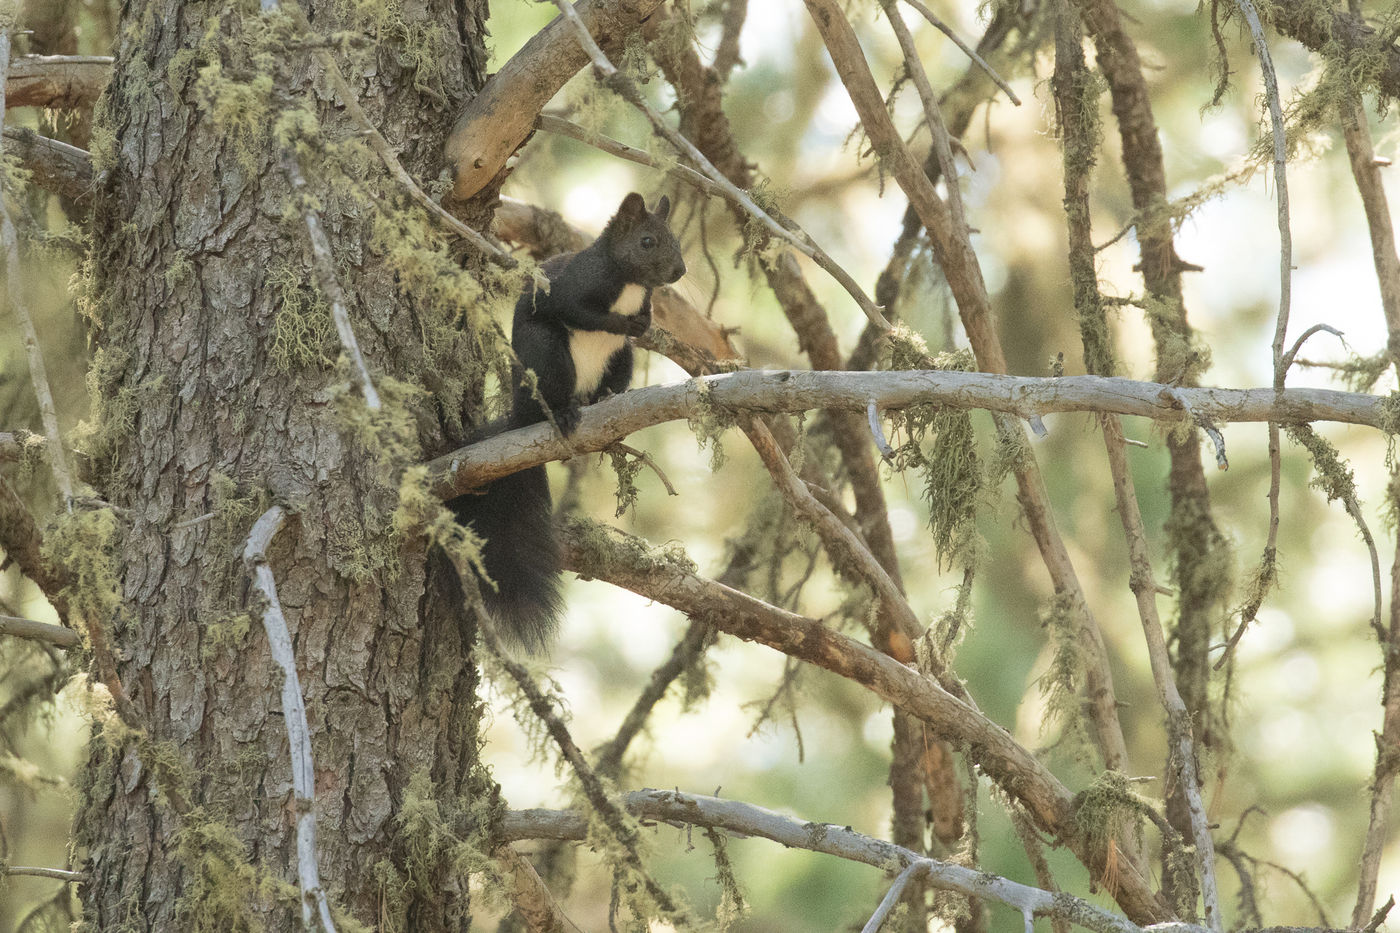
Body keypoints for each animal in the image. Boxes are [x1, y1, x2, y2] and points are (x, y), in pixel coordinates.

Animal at [445, 193, 686, 650]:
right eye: (647, 241)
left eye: (676, 239)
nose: (679, 271)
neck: (628, 283)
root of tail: (521, 413)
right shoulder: (570, 288)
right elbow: (577, 310)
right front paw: (619, 321)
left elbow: (642, 321)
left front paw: (642, 322)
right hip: (548, 355)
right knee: (553, 393)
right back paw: (564, 412)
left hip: (621, 361)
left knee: (610, 379)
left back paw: (606, 398)